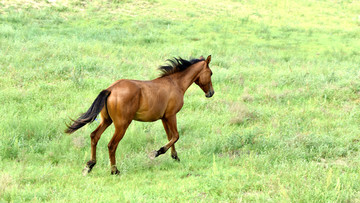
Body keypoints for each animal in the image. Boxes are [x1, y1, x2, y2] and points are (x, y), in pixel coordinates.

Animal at [65, 55, 214, 174]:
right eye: (211, 73)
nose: (211, 93)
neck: (175, 84)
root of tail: (110, 89)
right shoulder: (171, 115)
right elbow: (176, 136)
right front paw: (157, 152)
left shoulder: (164, 118)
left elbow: (170, 137)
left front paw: (175, 157)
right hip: (122, 125)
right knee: (112, 145)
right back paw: (114, 170)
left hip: (107, 121)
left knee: (94, 136)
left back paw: (90, 165)